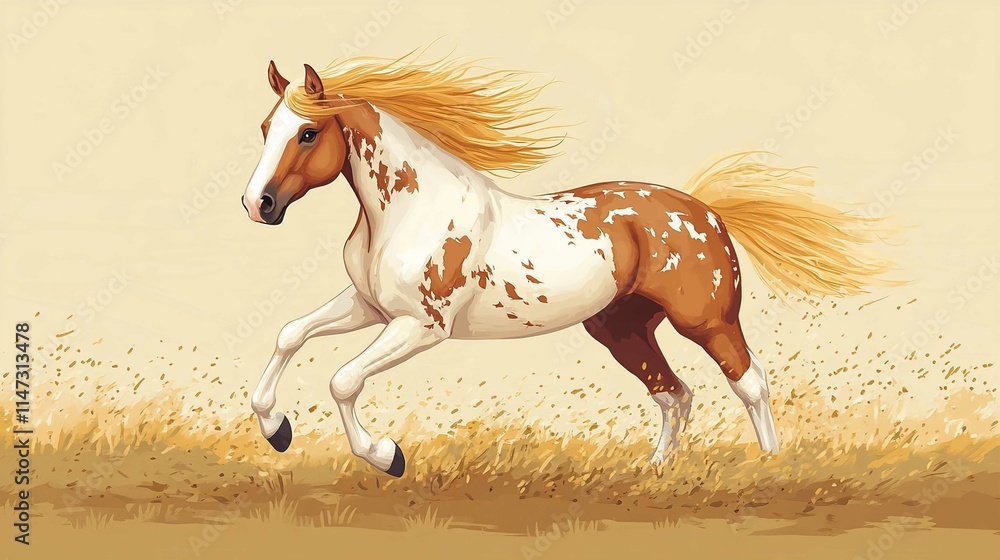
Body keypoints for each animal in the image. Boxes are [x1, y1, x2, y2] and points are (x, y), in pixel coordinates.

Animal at [240, 56, 893, 477]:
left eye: (307, 132)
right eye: (266, 127)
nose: (257, 204)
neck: (406, 211)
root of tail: (705, 210)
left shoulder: (421, 327)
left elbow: (342, 380)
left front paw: (388, 457)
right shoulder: (370, 308)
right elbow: (290, 334)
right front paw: (277, 428)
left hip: (705, 321)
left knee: (749, 381)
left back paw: (769, 466)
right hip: (621, 329)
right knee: (673, 394)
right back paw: (656, 472)